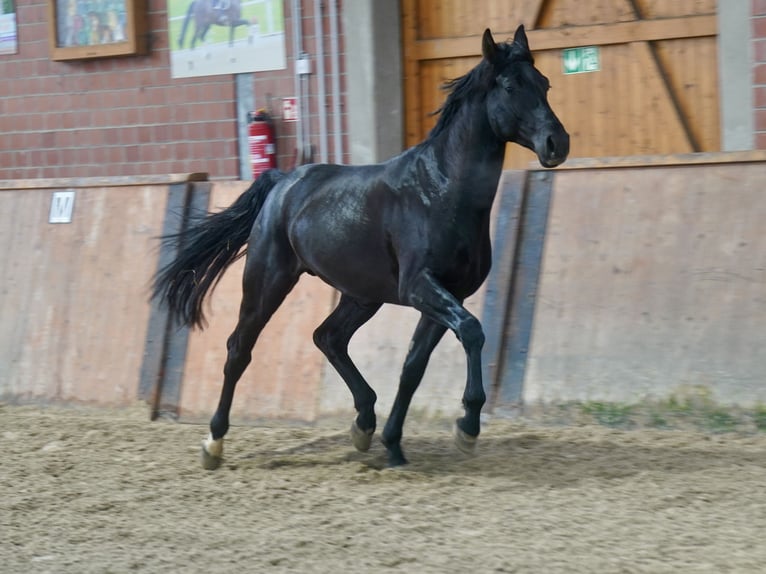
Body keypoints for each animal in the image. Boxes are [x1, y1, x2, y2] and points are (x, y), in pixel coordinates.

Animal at [153, 24, 568, 470]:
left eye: (544, 83)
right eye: (509, 86)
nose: (557, 143)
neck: (439, 191)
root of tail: (282, 182)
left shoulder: (449, 294)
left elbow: (413, 366)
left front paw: (394, 445)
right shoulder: (420, 287)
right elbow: (472, 332)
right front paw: (467, 428)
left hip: (362, 295)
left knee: (328, 337)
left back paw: (365, 425)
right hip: (268, 282)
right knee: (239, 350)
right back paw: (214, 443)